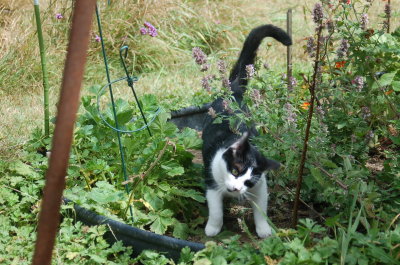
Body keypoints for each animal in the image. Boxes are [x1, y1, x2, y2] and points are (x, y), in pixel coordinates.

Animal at [203, 24, 290, 237]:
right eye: (235, 170)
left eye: (248, 182)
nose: (235, 189)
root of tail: (233, 90)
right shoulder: (211, 181)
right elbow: (215, 209)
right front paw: (213, 228)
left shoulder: (260, 186)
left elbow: (261, 209)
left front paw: (264, 229)